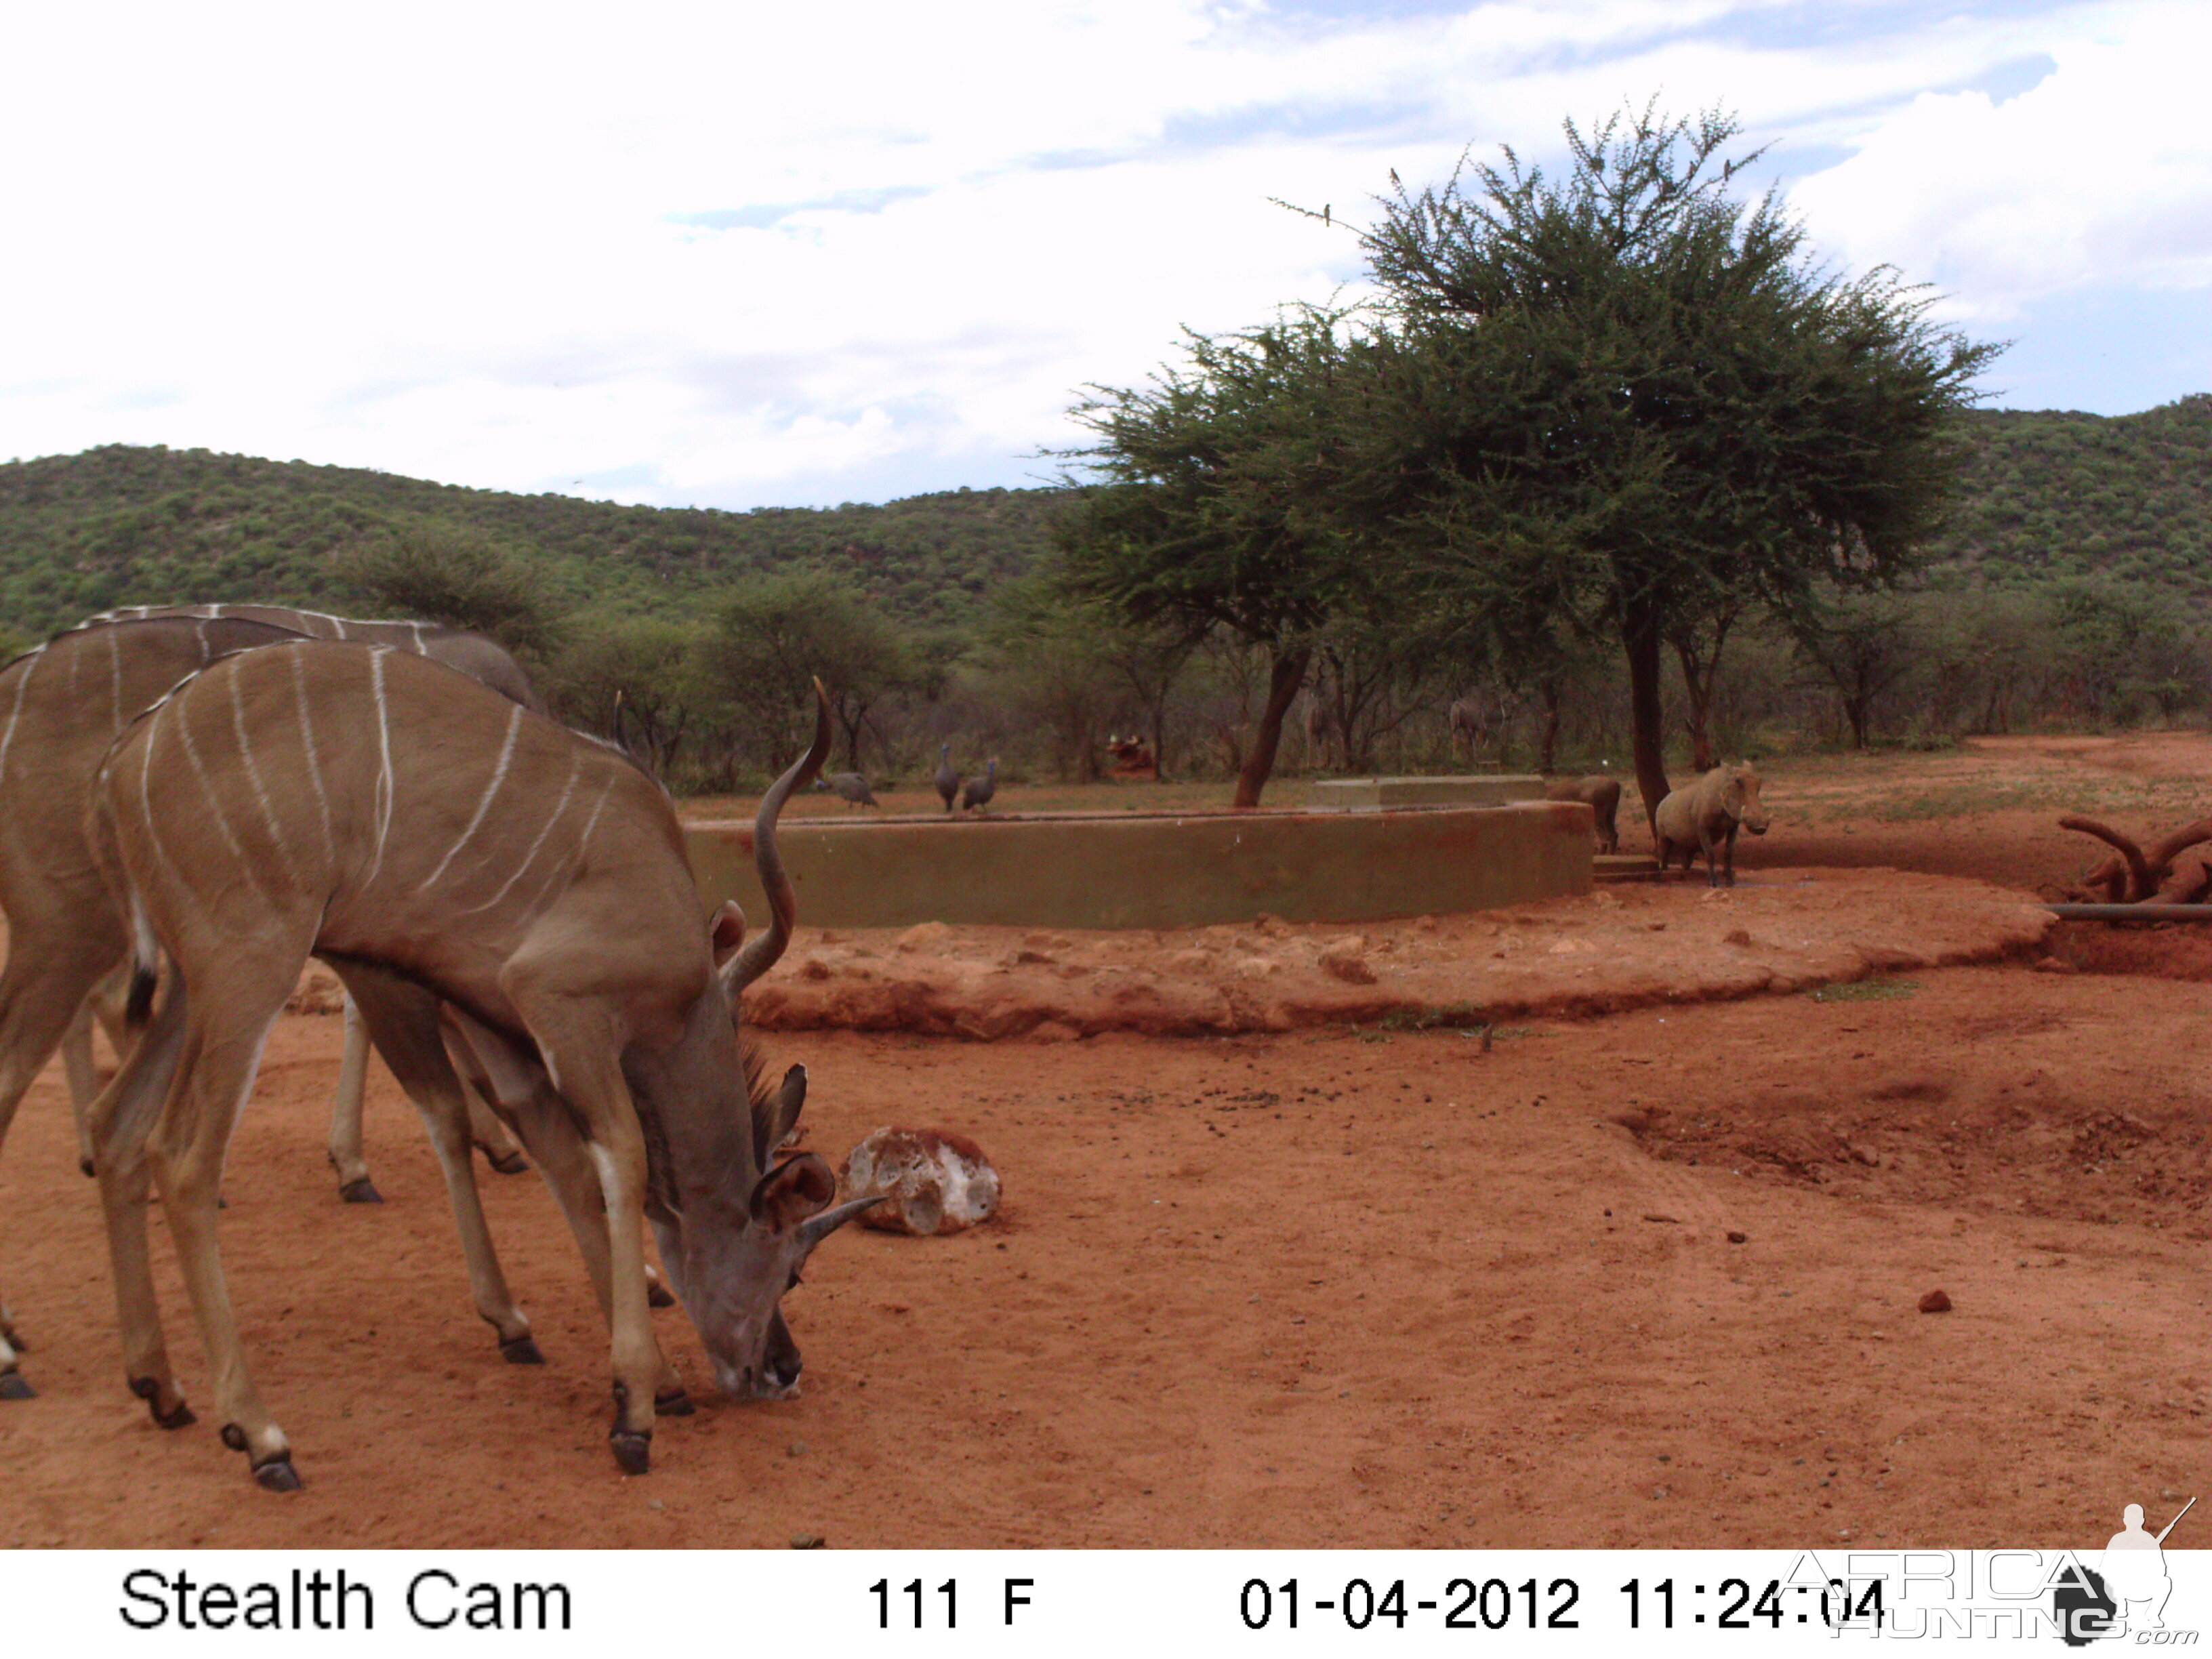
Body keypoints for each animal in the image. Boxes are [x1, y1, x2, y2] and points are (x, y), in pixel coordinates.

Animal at [84, 641, 872, 1486]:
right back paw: (260, 1434)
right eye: (791, 1267)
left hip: (190, 986)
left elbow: (566, 1164)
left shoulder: (501, 1021)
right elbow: (620, 1162)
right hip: (250, 963)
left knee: (117, 1126)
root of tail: (124, 757)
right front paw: (634, 1409)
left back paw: (160, 1387)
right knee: (183, 1160)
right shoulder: (558, 999)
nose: (782, 1369)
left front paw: (653, 1377)